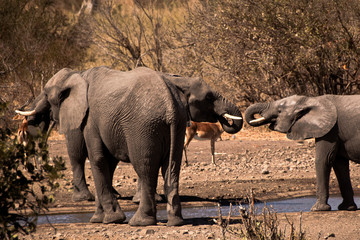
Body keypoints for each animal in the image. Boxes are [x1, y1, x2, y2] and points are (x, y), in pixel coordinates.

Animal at [15, 66, 243, 226]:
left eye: (46, 95)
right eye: (209, 97)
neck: (77, 75)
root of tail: (170, 104)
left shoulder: (91, 119)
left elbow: (98, 160)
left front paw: (110, 219)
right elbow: (104, 162)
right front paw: (99, 219)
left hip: (143, 127)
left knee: (144, 168)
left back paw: (139, 222)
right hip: (168, 126)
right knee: (170, 168)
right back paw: (174, 222)